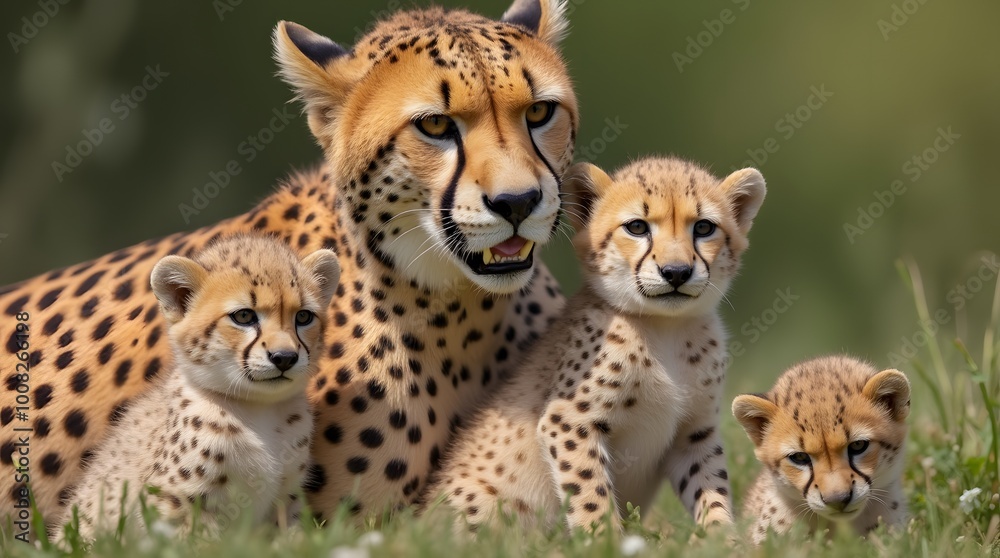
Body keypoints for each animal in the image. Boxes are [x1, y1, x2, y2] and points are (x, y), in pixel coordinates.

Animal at [54, 235, 340, 541]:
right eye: (243, 316)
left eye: (303, 317)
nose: (284, 357)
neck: (258, 408)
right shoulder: (178, 504)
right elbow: (197, 542)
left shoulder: (286, 498)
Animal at [422, 156, 767, 532]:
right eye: (637, 227)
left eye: (704, 228)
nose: (676, 272)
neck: (665, 327)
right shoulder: (569, 422)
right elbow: (591, 491)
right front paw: (604, 538)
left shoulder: (695, 431)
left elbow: (711, 486)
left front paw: (721, 535)